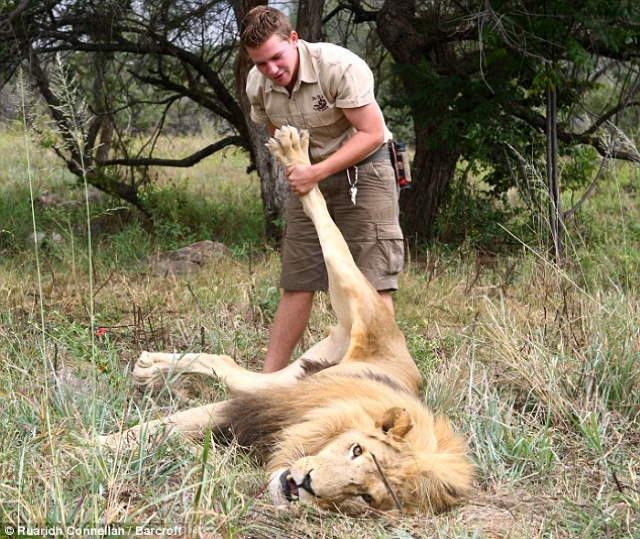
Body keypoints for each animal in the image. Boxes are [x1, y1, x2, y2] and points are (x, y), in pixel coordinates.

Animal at [99, 125, 470, 516]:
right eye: (356, 450)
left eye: (365, 496)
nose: (305, 484)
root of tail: (396, 341)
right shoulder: (255, 408)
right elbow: (150, 430)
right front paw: (88, 445)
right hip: (351, 286)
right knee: (326, 224)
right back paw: (295, 154)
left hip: (291, 374)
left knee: (226, 363)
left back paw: (149, 368)